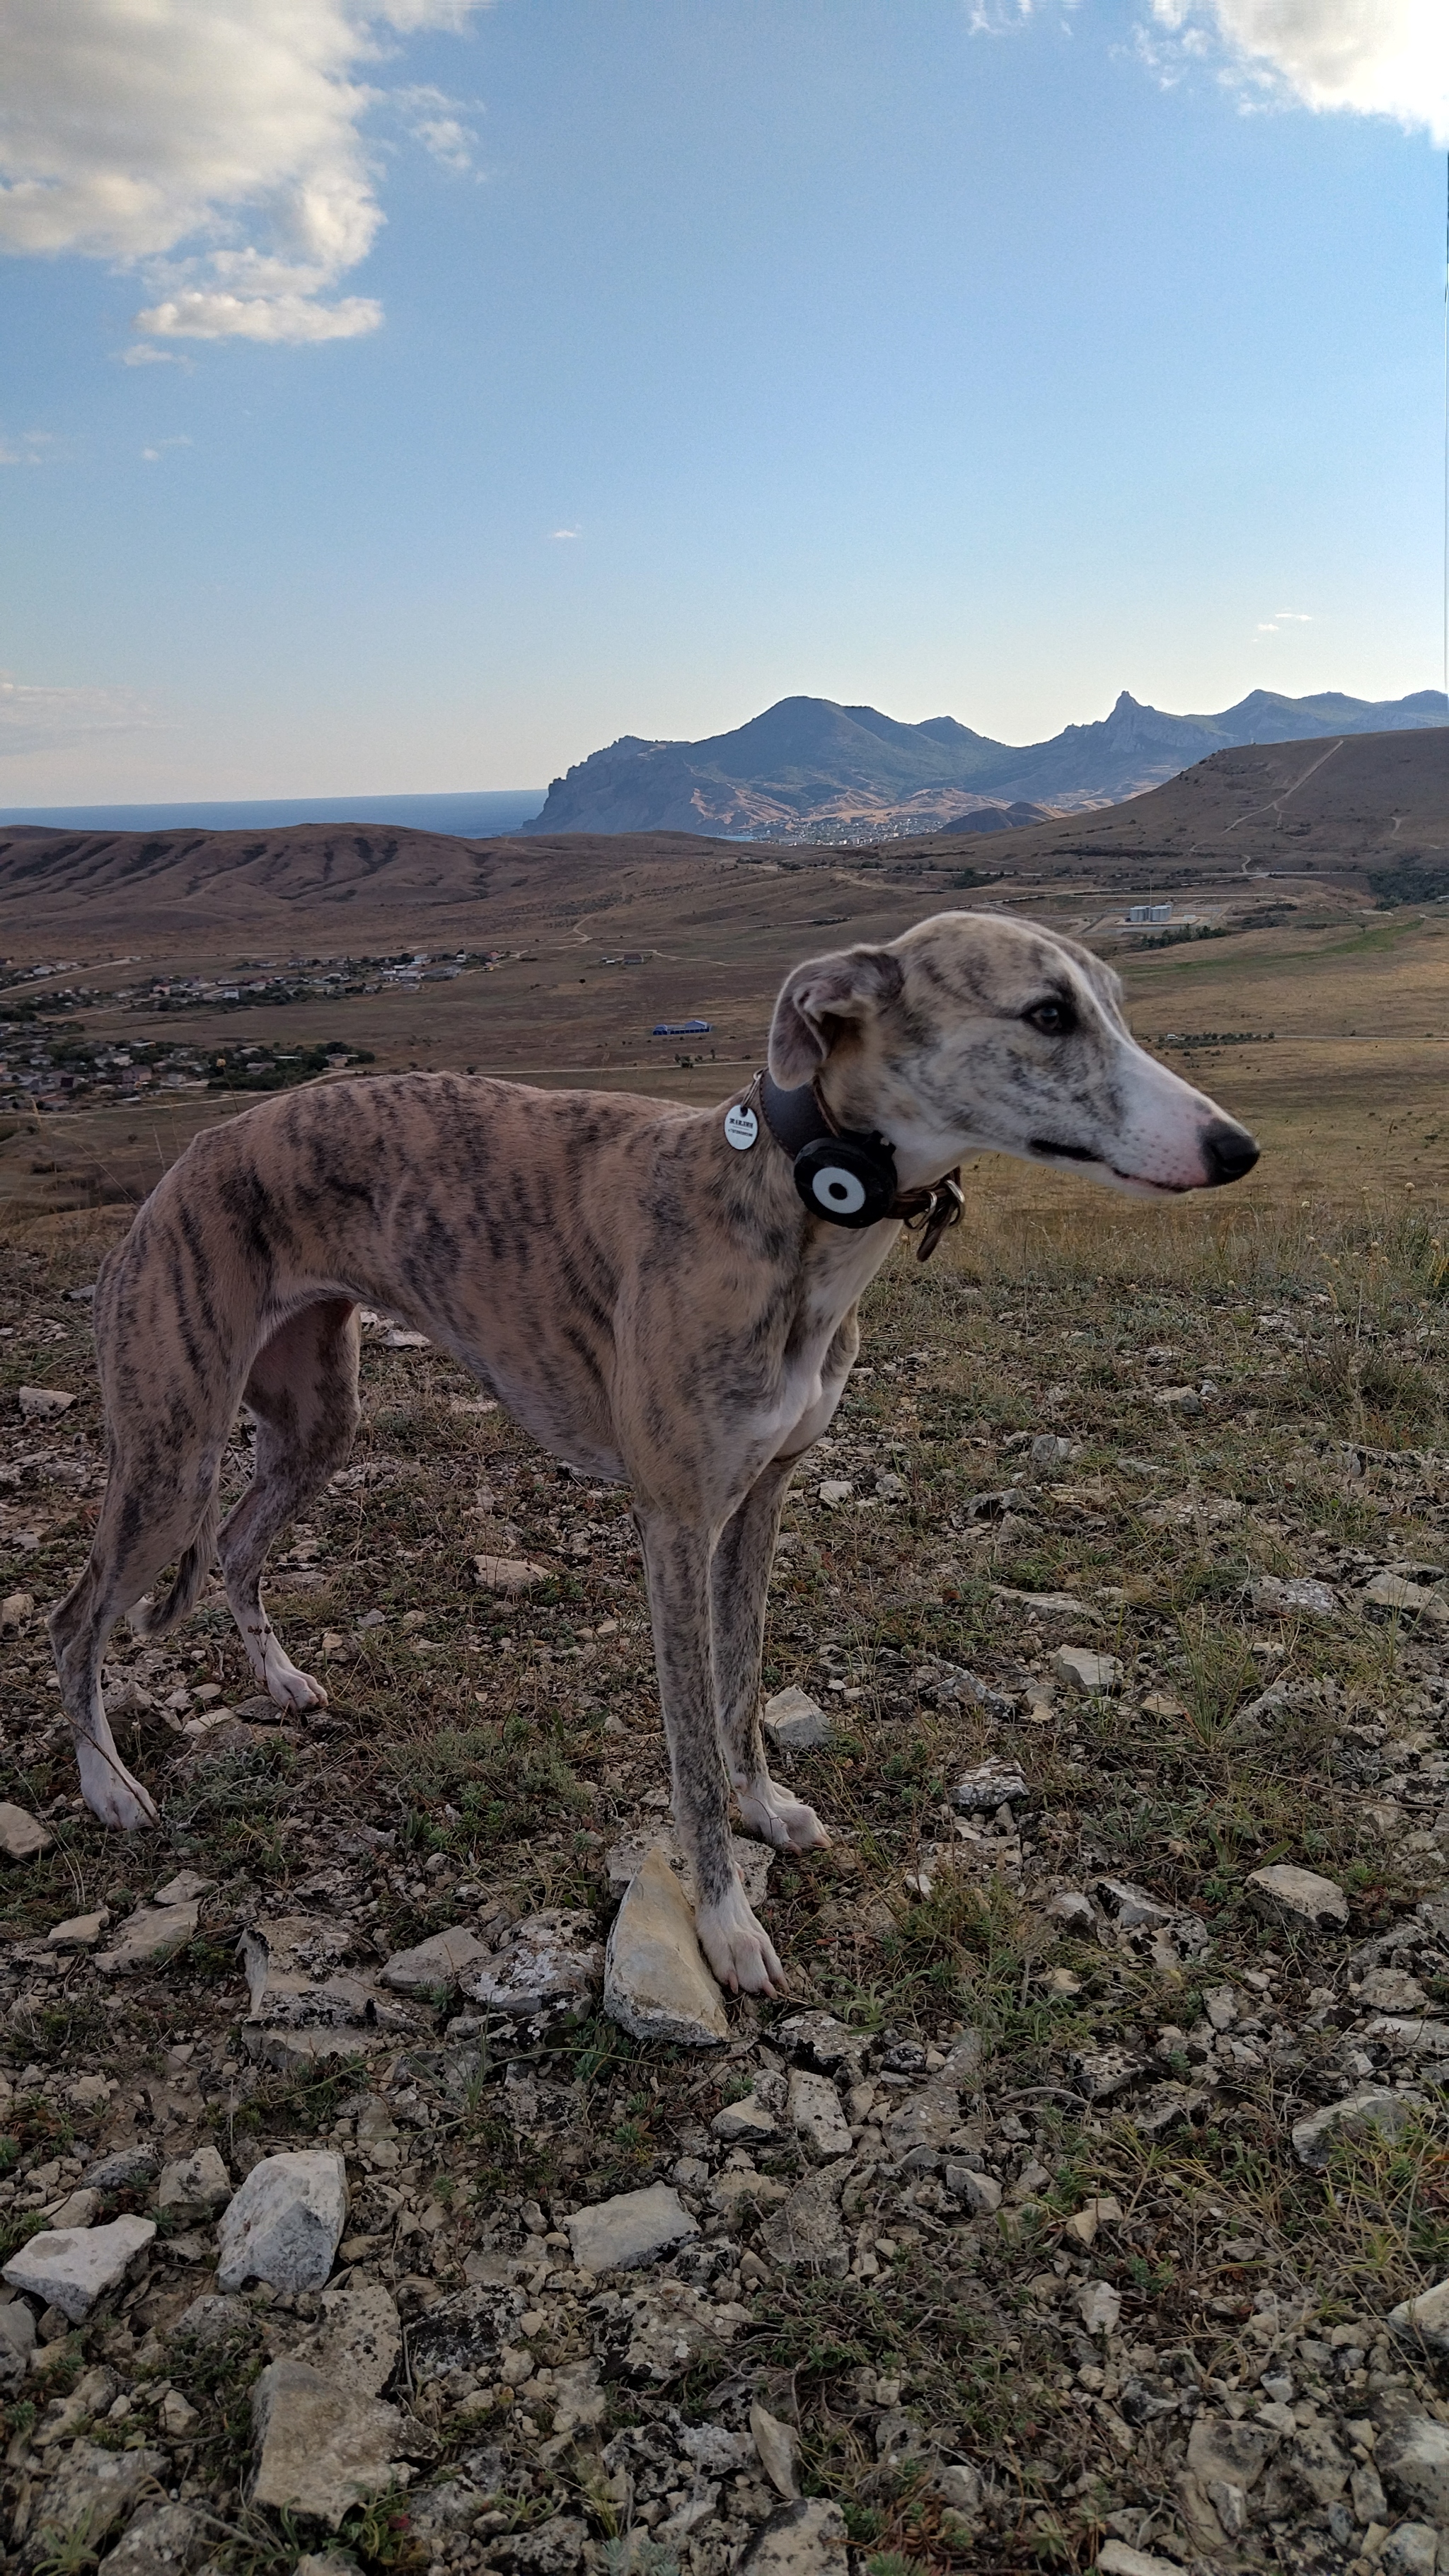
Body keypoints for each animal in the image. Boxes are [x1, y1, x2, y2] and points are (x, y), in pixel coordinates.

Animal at [50, 917, 1253, 1999]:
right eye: (1047, 1014)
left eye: (1114, 1004)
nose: (1235, 1149)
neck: (788, 1203)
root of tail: (188, 1161)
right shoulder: (673, 1522)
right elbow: (690, 1744)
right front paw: (726, 1926)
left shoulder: (762, 1500)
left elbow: (743, 1683)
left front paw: (766, 1808)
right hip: (170, 1449)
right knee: (77, 1616)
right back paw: (108, 1788)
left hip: (313, 1421)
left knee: (239, 1546)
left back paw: (282, 1679)